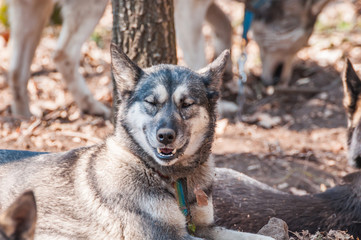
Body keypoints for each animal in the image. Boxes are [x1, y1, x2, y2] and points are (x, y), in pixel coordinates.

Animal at [0, 44, 272, 239]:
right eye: (151, 102)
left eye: (186, 104)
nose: (165, 136)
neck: (174, 180)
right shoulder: (166, 235)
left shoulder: (205, 226)